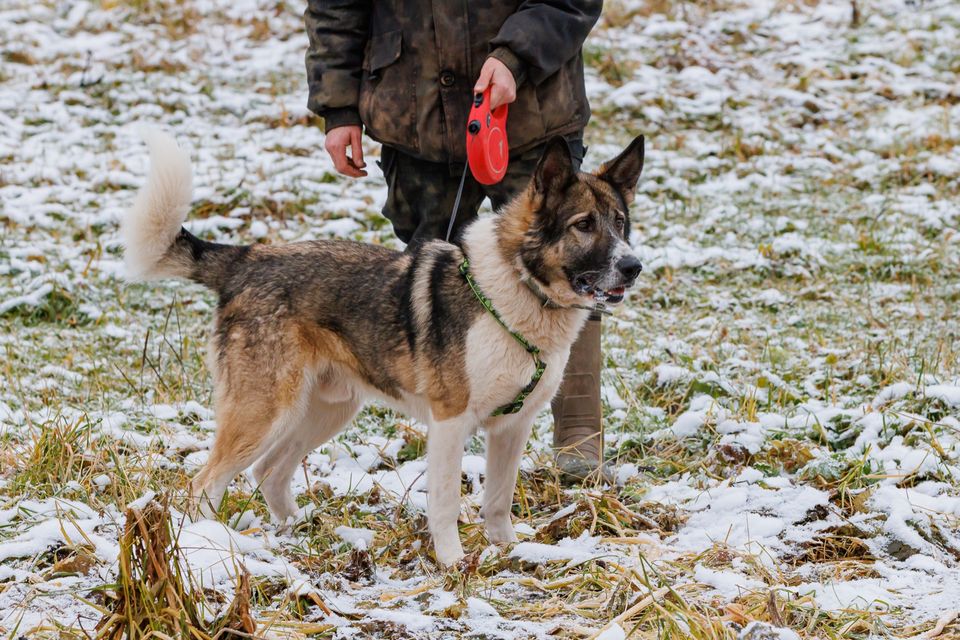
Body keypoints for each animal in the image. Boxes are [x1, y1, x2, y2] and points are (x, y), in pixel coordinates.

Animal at [122, 131, 644, 564]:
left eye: (620, 223)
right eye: (583, 225)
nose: (634, 266)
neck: (518, 289)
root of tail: (247, 259)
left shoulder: (513, 426)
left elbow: (498, 500)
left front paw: (508, 551)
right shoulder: (450, 421)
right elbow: (446, 502)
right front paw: (454, 563)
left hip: (326, 411)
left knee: (269, 473)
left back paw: (302, 533)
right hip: (265, 410)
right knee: (204, 485)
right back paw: (210, 545)